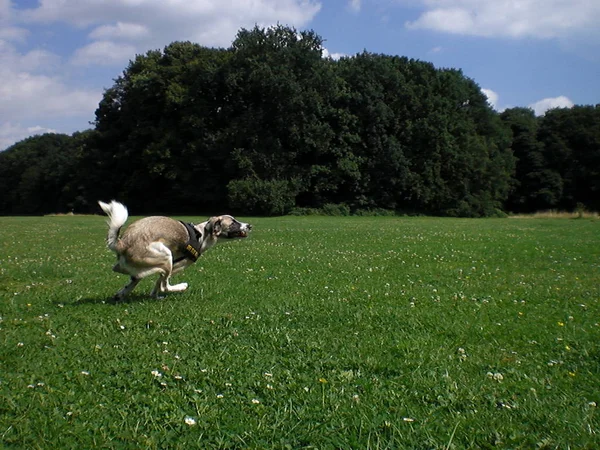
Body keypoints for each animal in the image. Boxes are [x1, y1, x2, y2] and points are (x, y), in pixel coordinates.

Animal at [98, 200, 251, 298]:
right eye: (233, 223)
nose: (250, 225)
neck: (201, 235)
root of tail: (122, 243)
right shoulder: (177, 266)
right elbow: (161, 284)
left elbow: (156, 284)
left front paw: (153, 295)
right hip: (166, 257)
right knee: (165, 285)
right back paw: (182, 286)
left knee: (134, 279)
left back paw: (121, 294)